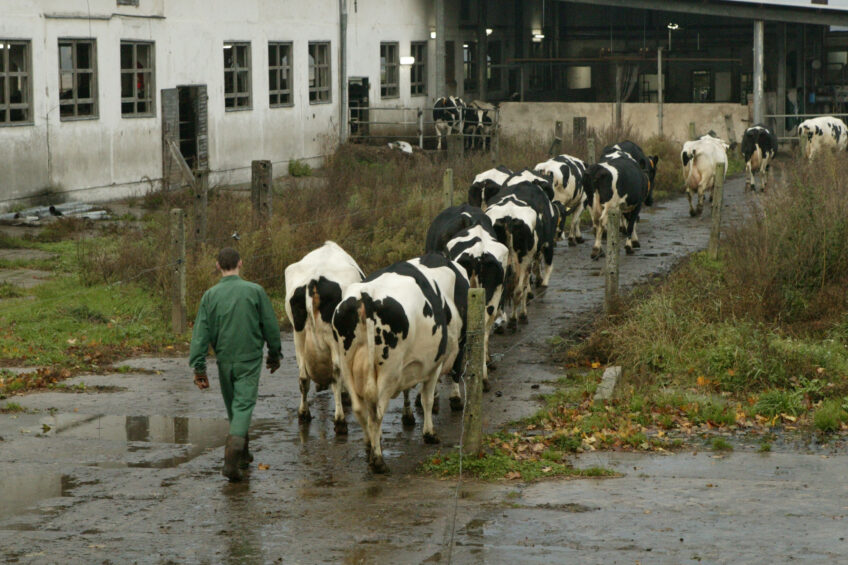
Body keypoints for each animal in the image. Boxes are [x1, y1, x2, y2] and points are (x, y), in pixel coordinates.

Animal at [284, 241, 364, 432]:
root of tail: (314, 279)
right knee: (336, 372)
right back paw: (340, 421)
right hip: (332, 336)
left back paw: (303, 414)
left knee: (303, 376)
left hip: (299, 333)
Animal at [332, 252, 468, 472]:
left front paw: (409, 416)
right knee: (377, 412)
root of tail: (366, 295)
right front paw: (430, 433)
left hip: (347, 366)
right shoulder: (435, 363)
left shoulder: (411, 363)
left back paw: (369, 446)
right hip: (388, 370)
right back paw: (378, 460)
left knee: (361, 409)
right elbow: (428, 398)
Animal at [484, 183, 556, 328]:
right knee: (518, 290)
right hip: (524, 259)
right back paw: (515, 319)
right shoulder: (546, 245)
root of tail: (508, 217)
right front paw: (523, 312)